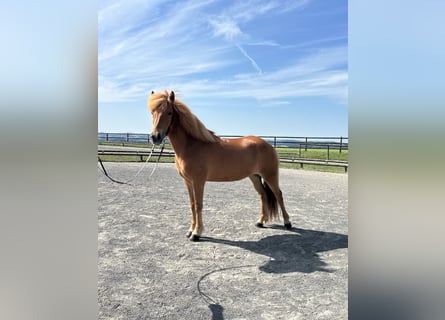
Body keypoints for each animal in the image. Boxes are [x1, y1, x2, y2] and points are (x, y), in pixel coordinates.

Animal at [147, 89, 292, 240]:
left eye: (169, 112)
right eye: (152, 112)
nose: (155, 137)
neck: (191, 145)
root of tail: (268, 145)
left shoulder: (198, 181)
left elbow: (198, 205)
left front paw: (197, 233)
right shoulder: (188, 181)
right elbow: (192, 205)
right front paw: (190, 230)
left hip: (270, 176)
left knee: (278, 194)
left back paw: (287, 223)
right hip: (254, 176)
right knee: (263, 195)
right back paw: (260, 221)